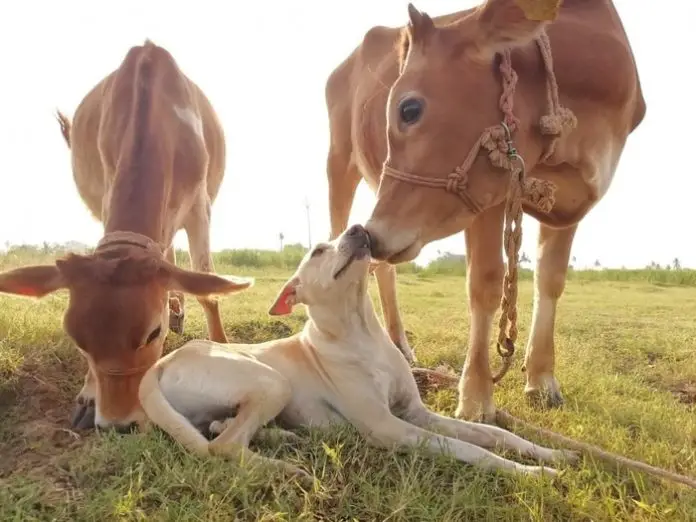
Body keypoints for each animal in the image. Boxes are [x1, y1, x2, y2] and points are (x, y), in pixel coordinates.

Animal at [0, 40, 253, 432]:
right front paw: (89, 394)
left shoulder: (200, 206)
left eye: (152, 333)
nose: (119, 425)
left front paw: (222, 348)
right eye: (78, 341)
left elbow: (208, 288)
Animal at [324, 0, 645, 422]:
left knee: (382, 267)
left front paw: (542, 379)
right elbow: (486, 285)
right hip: (339, 165)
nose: (374, 233)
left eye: (409, 109)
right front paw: (476, 398)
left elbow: (551, 280)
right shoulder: (486, 199)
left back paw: (399, 343)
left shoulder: (570, 203)